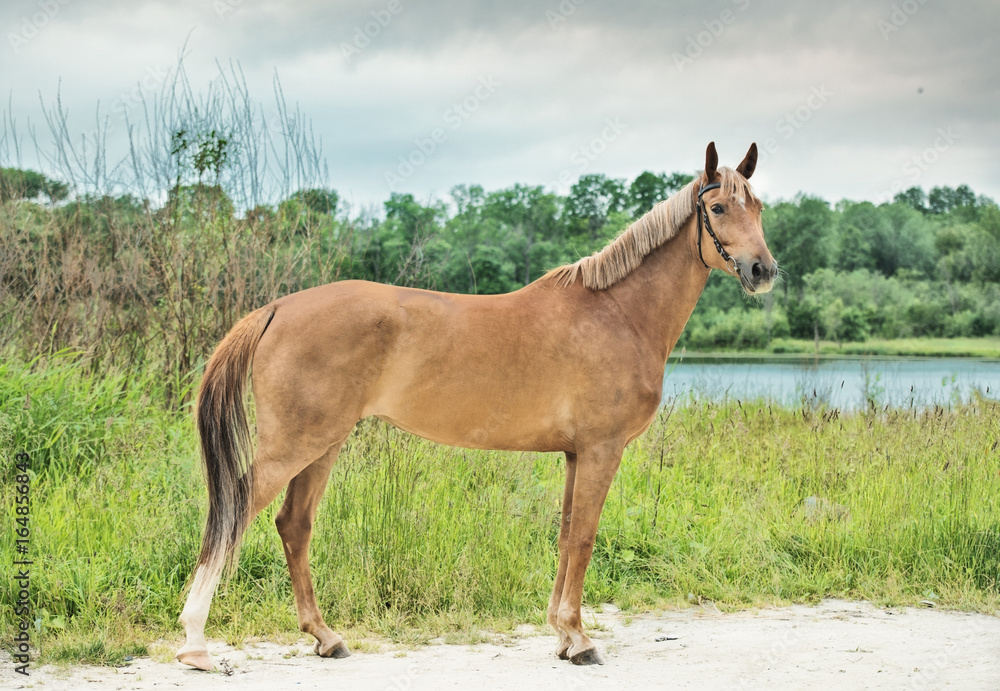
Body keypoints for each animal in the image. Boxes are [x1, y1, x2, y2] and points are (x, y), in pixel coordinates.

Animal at [176, 142, 778, 670]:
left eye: (759, 208)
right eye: (718, 207)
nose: (762, 271)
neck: (616, 313)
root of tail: (277, 307)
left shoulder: (575, 454)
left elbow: (566, 536)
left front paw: (563, 636)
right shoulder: (601, 450)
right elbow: (584, 538)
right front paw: (580, 640)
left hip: (322, 446)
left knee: (294, 525)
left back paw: (326, 638)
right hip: (295, 446)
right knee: (236, 515)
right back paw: (195, 645)